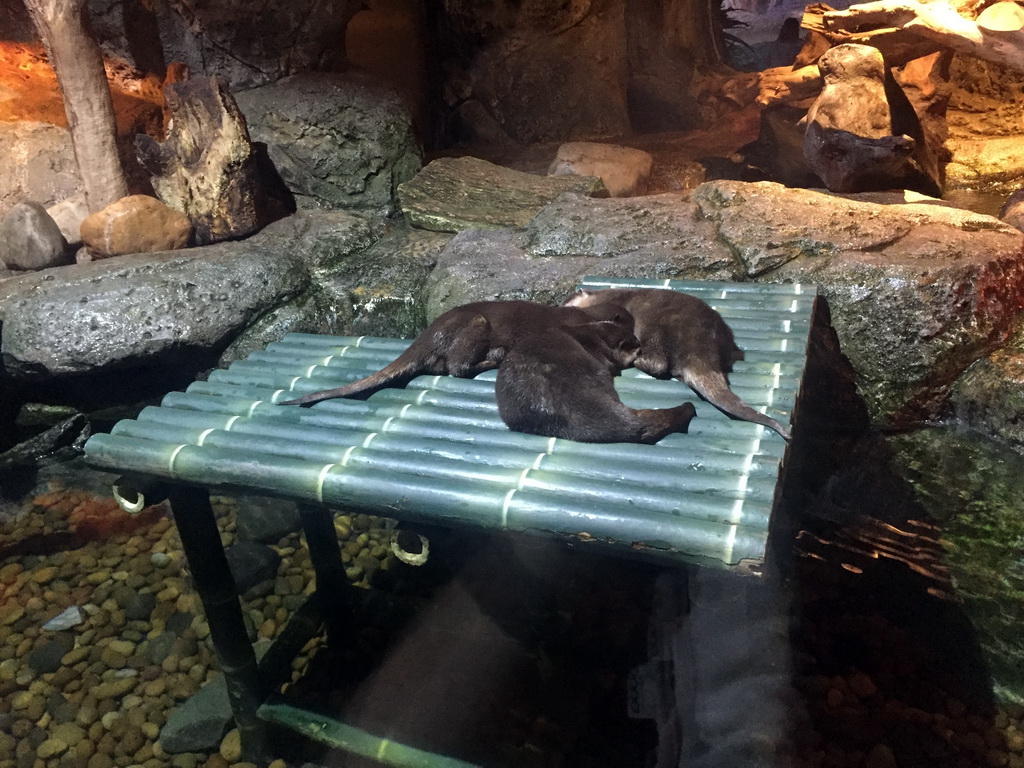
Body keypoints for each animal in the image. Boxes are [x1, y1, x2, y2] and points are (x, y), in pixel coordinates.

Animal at [280, 301, 630, 409]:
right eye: (630, 328)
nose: (637, 341)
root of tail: (426, 334)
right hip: (476, 323)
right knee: (457, 367)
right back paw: (494, 357)